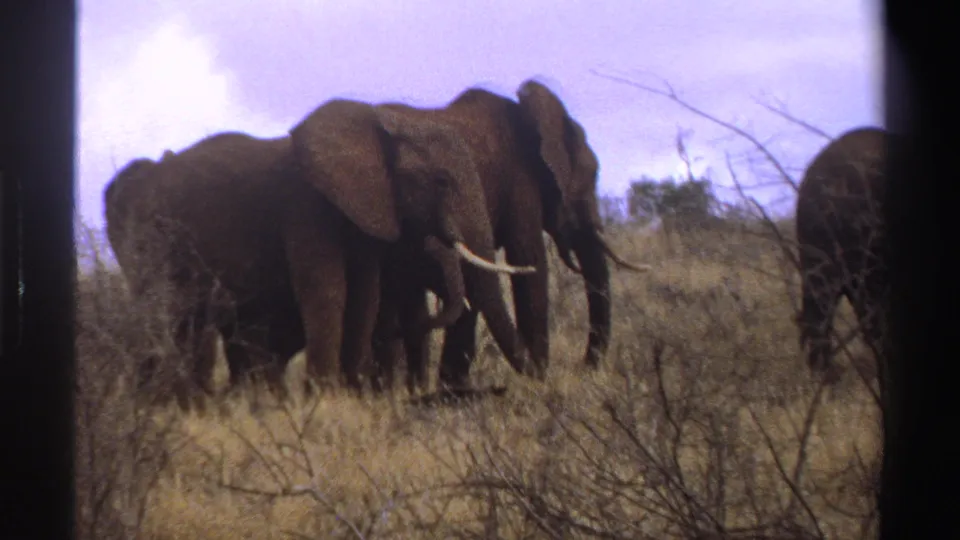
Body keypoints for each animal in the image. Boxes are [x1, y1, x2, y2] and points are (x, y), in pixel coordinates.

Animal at [103, 98, 537, 410]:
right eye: (442, 181)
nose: (534, 382)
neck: (380, 127)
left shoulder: (365, 213)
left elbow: (365, 296)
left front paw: (350, 394)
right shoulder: (304, 206)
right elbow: (327, 291)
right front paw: (324, 400)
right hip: (155, 238)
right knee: (168, 316)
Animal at [371, 79, 651, 392]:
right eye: (592, 177)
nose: (585, 368)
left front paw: (455, 389)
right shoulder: (520, 184)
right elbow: (530, 262)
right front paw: (539, 382)